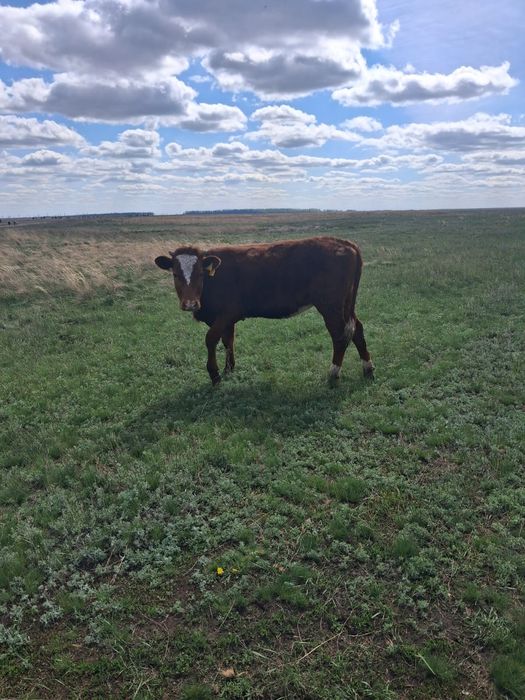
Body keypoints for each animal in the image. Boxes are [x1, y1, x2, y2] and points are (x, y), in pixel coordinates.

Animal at [155, 237, 374, 385]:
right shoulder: (226, 319)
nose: (190, 304)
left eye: (200, 273)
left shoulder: (227, 314)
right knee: (357, 329)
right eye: (175, 274)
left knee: (340, 335)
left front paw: (214, 375)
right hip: (346, 304)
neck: (213, 280)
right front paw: (229, 369)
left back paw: (333, 373)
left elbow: (211, 339)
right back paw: (368, 368)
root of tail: (346, 243)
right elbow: (228, 341)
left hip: (331, 306)